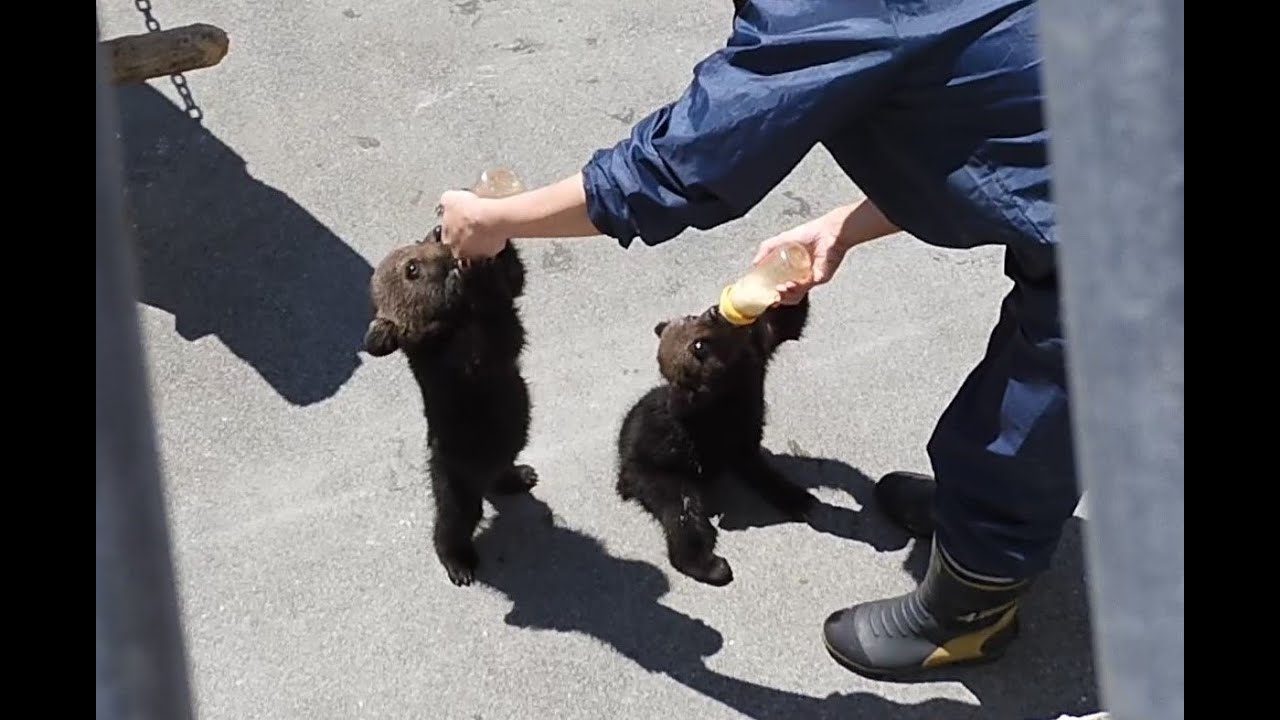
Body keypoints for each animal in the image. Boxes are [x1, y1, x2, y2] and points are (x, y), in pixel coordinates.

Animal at [363, 226, 537, 587]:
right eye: (411, 268)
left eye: (416, 244)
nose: (436, 234)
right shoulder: (456, 359)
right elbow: (500, 336)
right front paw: (472, 272)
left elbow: (514, 283)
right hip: (456, 476)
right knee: (453, 522)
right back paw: (459, 563)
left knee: (502, 471)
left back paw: (522, 475)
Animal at [615, 295, 817, 586]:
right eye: (698, 345)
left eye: (691, 316)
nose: (712, 311)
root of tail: (623, 470)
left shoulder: (756, 353)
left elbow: (785, 322)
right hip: (658, 472)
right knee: (682, 513)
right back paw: (712, 566)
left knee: (762, 473)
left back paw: (800, 499)